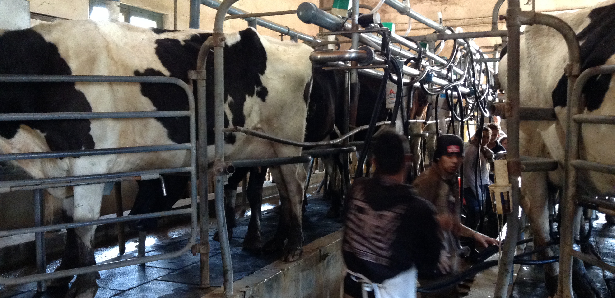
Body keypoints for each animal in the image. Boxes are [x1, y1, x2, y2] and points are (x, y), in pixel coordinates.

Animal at [0, 19, 312, 296]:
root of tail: (300, 50)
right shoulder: (61, 169)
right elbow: (69, 224)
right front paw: (61, 275)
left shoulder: (90, 161)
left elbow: (83, 222)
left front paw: (84, 284)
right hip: (271, 149)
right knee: (284, 189)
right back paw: (278, 242)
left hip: (288, 140)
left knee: (295, 188)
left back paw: (294, 246)